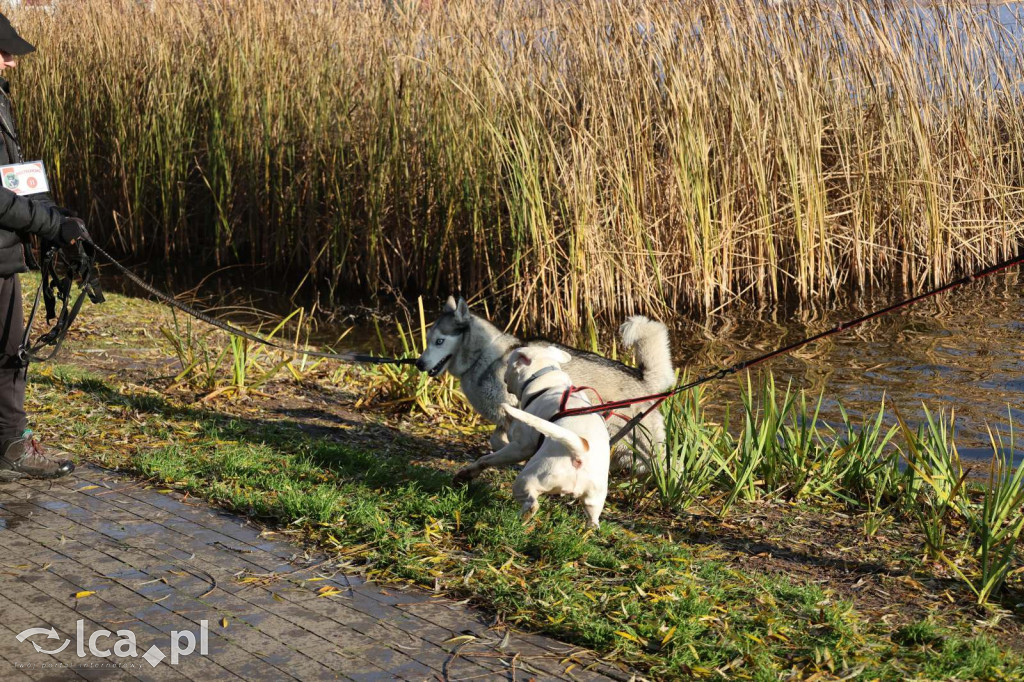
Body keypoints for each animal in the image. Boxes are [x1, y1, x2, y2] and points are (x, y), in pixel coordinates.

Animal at [413, 294, 671, 471]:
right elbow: (497, 439)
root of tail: (641, 377)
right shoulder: (504, 415)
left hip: (642, 442)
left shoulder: (517, 410)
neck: (485, 357)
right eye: (428, 340)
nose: (418, 363)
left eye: (439, 341)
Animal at [454, 346, 606, 524]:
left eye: (509, 362)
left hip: (529, 479)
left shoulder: (521, 447)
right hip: (594, 500)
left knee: (531, 503)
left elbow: (486, 459)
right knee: (593, 521)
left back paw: (517, 521)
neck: (546, 377)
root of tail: (580, 452)